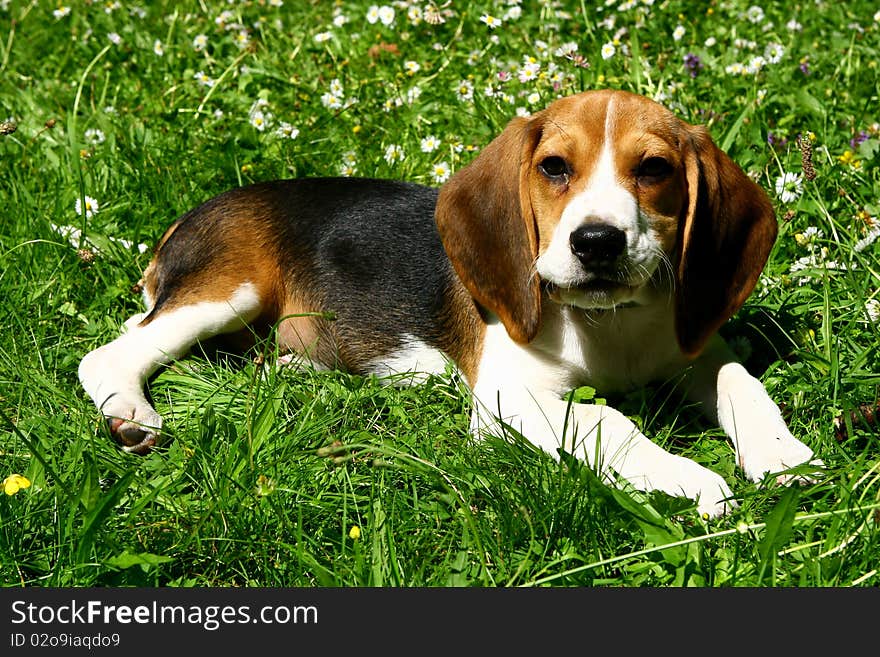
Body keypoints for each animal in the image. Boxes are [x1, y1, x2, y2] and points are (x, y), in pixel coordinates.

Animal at [79, 89, 820, 516]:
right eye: (554, 167)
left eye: (655, 169)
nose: (598, 242)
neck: (609, 326)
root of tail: (193, 213)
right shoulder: (508, 397)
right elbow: (609, 422)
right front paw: (688, 477)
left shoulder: (693, 345)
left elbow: (741, 381)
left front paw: (781, 454)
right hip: (229, 288)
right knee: (110, 353)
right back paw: (132, 417)